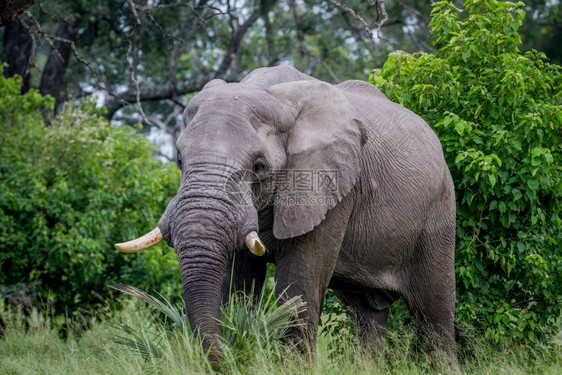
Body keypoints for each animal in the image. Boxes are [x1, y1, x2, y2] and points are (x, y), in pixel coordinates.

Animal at [115, 65, 456, 364]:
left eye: (259, 166)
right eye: (179, 159)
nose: (222, 359)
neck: (270, 95)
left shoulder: (328, 186)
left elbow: (299, 285)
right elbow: (237, 282)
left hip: (440, 212)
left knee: (433, 310)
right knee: (366, 314)